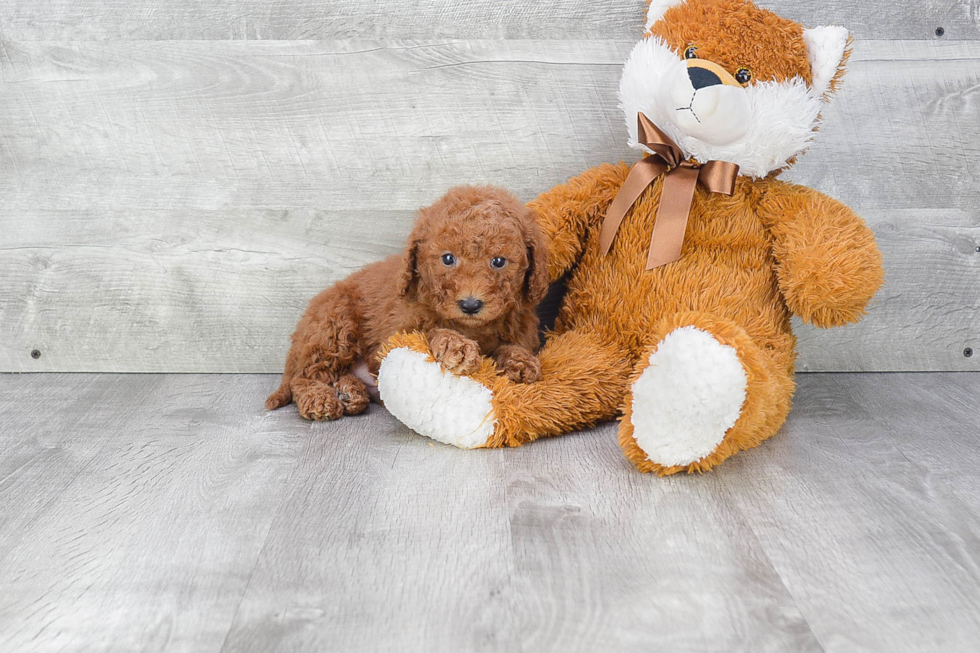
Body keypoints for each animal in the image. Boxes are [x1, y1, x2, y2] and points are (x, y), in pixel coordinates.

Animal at [264, 185, 548, 418]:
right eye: (448, 259)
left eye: (498, 261)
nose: (470, 305)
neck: (472, 327)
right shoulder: (395, 332)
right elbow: (428, 331)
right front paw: (455, 345)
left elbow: (508, 346)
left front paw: (519, 360)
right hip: (333, 326)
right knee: (303, 377)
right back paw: (320, 399)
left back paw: (351, 393)